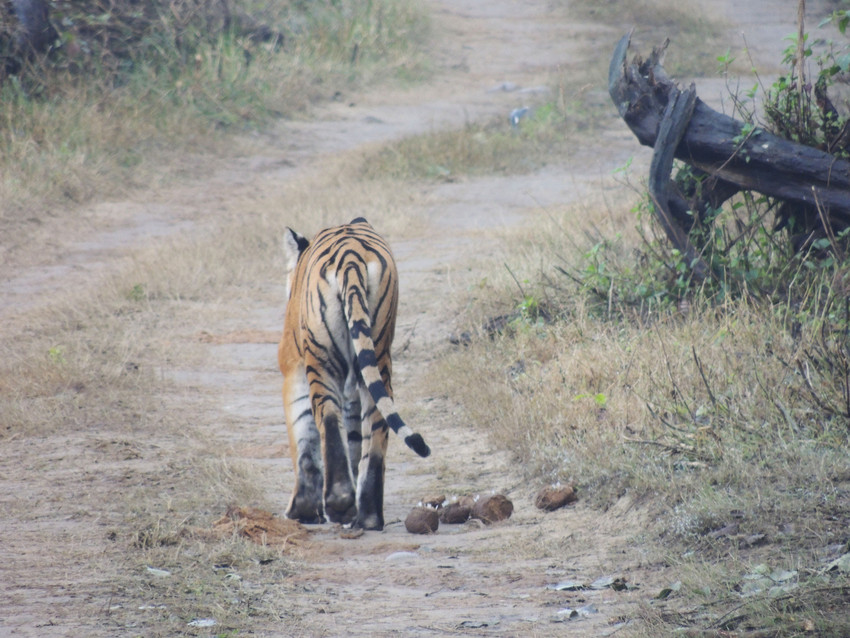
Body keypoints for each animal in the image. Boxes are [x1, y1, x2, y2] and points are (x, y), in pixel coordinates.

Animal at [276, 218, 428, 532]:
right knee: (377, 425)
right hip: (378, 354)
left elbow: (303, 438)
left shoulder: (293, 369)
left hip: (321, 360)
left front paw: (301, 510)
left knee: (328, 418)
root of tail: (350, 255)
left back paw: (340, 505)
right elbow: (355, 438)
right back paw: (367, 517)